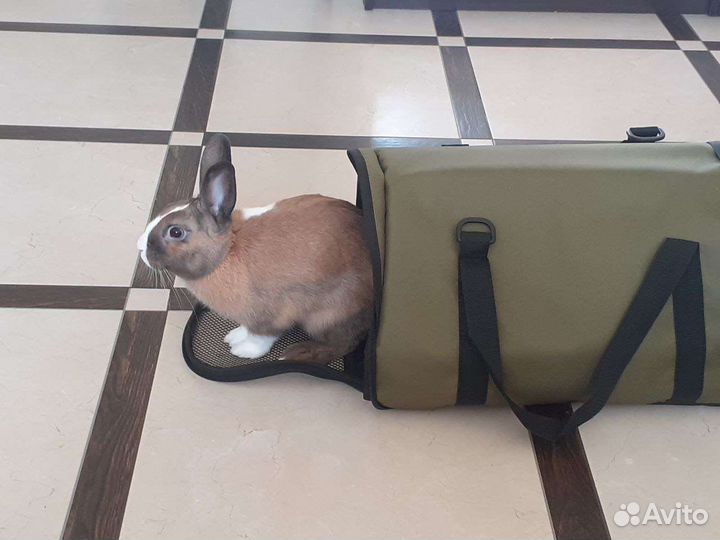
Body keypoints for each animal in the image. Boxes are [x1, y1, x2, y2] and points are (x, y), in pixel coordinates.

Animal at [137, 134, 373, 364]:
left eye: (175, 232)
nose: (140, 248)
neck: (227, 251)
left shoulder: (271, 315)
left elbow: (261, 337)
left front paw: (244, 351)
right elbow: (246, 329)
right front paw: (233, 336)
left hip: (329, 316)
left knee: (342, 344)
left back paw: (296, 353)